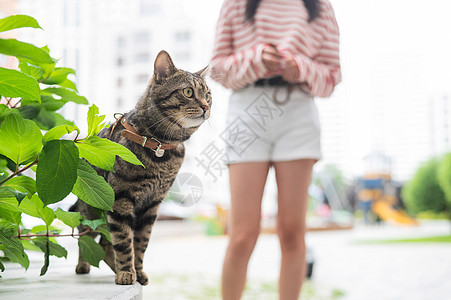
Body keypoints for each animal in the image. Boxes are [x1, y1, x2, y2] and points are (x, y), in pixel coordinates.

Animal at [70, 50, 212, 284]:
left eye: (208, 95)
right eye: (188, 92)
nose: (206, 107)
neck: (161, 147)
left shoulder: (152, 205)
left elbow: (140, 243)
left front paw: (137, 271)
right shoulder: (121, 200)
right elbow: (124, 241)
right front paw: (127, 272)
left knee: (104, 244)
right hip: (91, 212)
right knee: (86, 236)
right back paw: (84, 265)